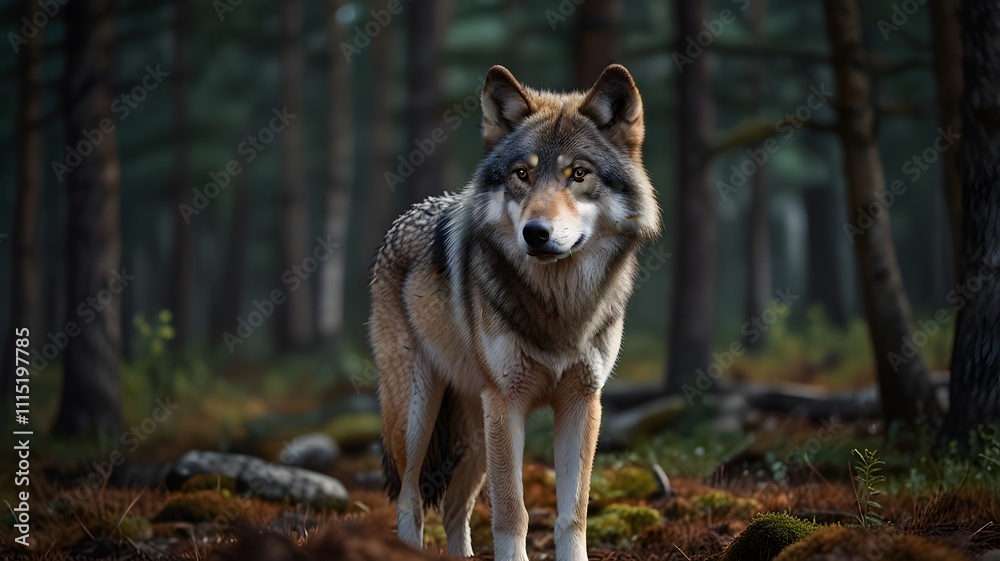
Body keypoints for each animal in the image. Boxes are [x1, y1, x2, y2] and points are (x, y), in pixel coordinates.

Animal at [370, 64, 660, 561]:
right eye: (522, 173)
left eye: (578, 174)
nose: (536, 233)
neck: (559, 309)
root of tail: (404, 219)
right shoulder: (507, 403)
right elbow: (513, 512)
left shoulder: (582, 402)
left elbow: (572, 513)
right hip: (419, 414)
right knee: (410, 499)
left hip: (473, 432)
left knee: (454, 506)